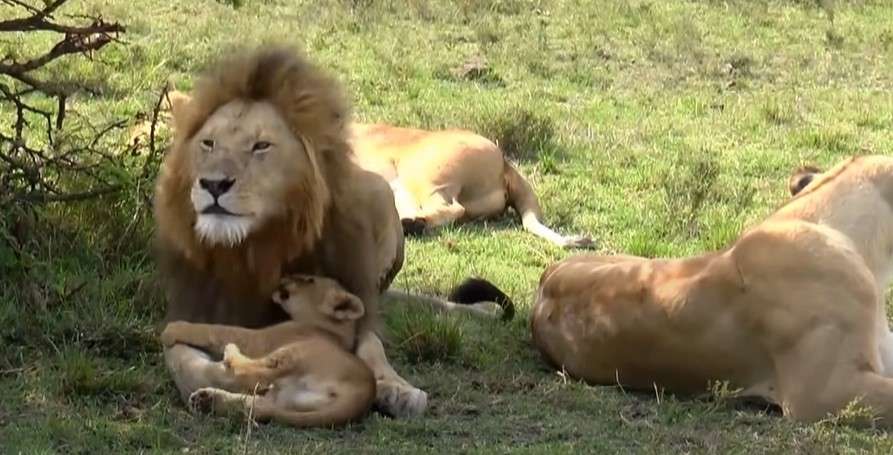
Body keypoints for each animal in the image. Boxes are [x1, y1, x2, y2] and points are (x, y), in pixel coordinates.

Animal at [160, 276, 372, 430]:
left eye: (310, 279)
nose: (283, 278)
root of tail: (363, 395)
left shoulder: (260, 338)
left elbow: (222, 330)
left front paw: (173, 329)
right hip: (284, 398)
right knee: (258, 407)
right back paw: (206, 400)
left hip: (293, 354)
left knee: (245, 373)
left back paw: (229, 353)